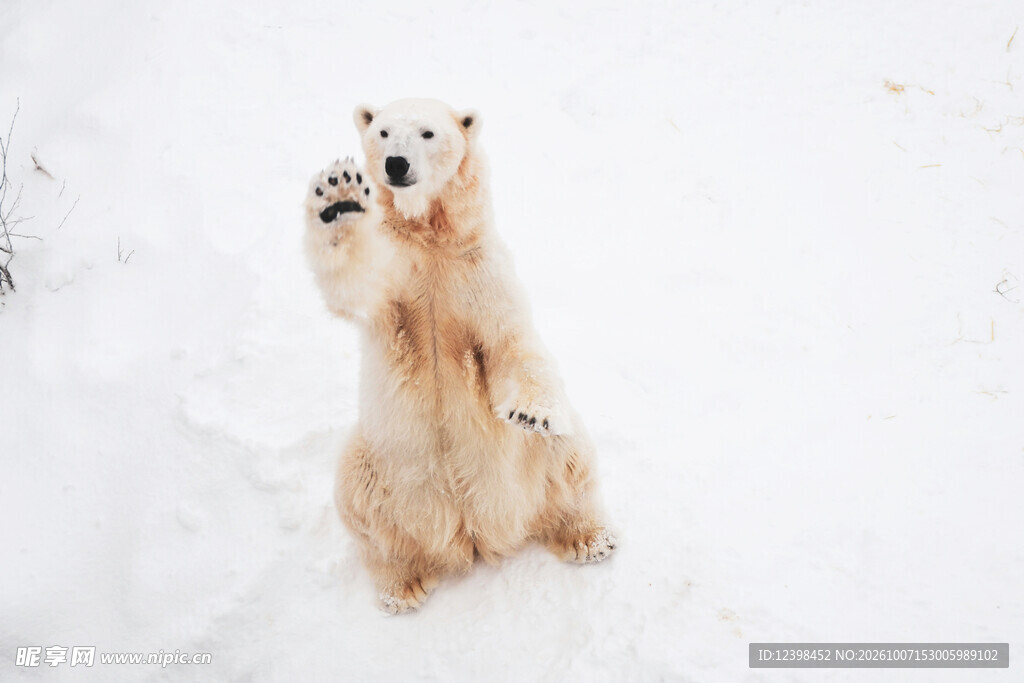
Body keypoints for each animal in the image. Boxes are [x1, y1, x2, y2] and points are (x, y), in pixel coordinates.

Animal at [303, 99, 615, 614]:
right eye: (383, 132)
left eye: (428, 133)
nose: (396, 164)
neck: (430, 238)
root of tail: (470, 533)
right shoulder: (398, 276)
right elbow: (357, 283)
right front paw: (339, 200)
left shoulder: (477, 269)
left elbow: (511, 342)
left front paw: (530, 412)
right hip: (380, 462)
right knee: (362, 507)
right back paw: (401, 585)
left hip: (526, 466)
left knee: (568, 454)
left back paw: (590, 538)